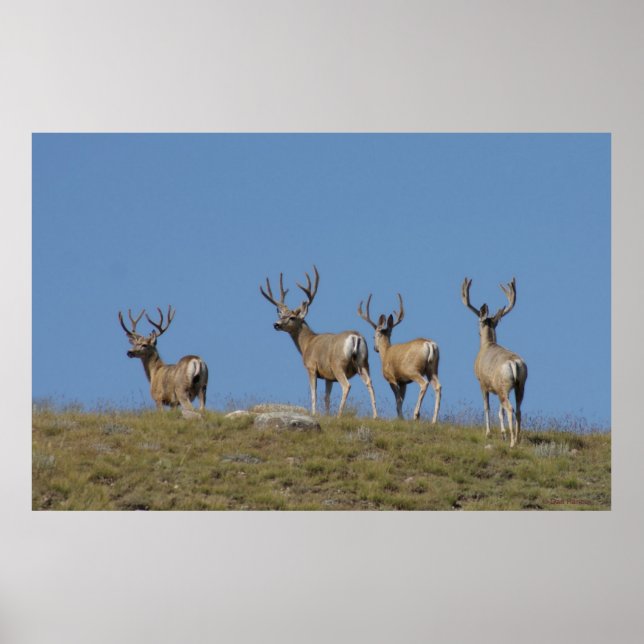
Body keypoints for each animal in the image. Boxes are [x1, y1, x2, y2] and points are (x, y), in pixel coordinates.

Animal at [259, 265, 378, 418]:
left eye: (292, 317)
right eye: (282, 315)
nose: (276, 324)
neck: (307, 343)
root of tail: (355, 337)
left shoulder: (311, 367)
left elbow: (314, 394)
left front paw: (314, 413)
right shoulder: (328, 376)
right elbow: (326, 397)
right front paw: (326, 415)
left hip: (338, 364)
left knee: (346, 386)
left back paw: (339, 414)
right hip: (363, 363)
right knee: (370, 383)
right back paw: (375, 416)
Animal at [358, 293, 441, 422]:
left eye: (373, 336)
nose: (375, 348)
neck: (385, 353)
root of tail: (429, 344)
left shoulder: (391, 377)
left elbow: (397, 400)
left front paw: (401, 417)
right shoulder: (403, 382)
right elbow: (401, 400)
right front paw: (400, 417)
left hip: (412, 369)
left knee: (424, 384)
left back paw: (416, 415)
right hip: (432, 369)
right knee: (438, 386)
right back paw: (434, 420)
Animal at [461, 277, 528, 447]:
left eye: (477, 322)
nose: (477, 331)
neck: (487, 345)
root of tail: (514, 363)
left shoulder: (482, 382)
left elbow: (487, 407)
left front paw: (489, 433)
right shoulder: (496, 388)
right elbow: (499, 411)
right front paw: (503, 433)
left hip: (504, 385)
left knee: (510, 408)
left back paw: (512, 442)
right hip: (519, 385)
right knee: (518, 410)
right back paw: (517, 438)